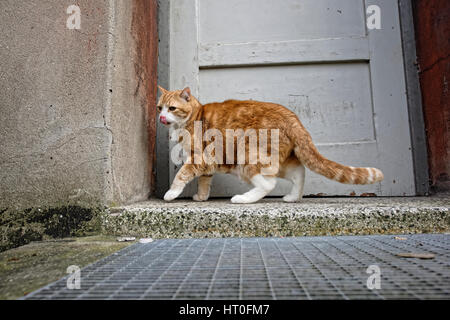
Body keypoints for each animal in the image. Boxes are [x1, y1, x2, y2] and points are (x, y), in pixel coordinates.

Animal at [156, 86, 384, 204]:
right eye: (159, 107)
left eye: (172, 108)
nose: (160, 117)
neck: (193, 117)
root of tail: (293, 118)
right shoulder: (206, 165)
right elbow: (204, 181)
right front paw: (201, 197)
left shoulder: (201, 158)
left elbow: (182, 175)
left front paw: (171, 194)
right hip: (281, 161)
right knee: (299, 173)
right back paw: (292, 197)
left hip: (248, 158)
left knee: (268, 184)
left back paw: (243, 199)